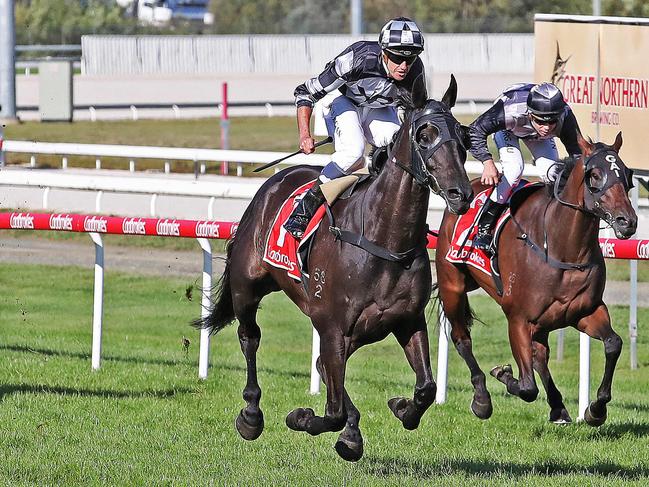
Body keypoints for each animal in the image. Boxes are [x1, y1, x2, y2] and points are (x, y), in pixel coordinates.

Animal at [195, 76, 474, 462]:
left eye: (463, 137)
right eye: (424, 135)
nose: (460, 193)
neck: (384, 240)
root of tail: (273, 183)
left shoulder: (406, 320)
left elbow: (426, 389)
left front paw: (400, 408)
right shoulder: (332, 327)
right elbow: (332, 410)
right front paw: (302, 418)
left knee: (325, 370)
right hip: (247, 286)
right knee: (250, 338)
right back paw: (251, 414)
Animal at [432, 133, 636, 428]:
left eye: (627, 174)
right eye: (595, 175)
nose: (627, 221)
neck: (562, 248)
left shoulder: (585, 312)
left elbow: (613, 344)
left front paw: (595, 409)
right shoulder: (518, 319)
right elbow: (527, 387)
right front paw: (503, 374)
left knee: (541, 355)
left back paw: (558, 407)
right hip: (453, 286)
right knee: (462, 339)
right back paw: (482, 399)